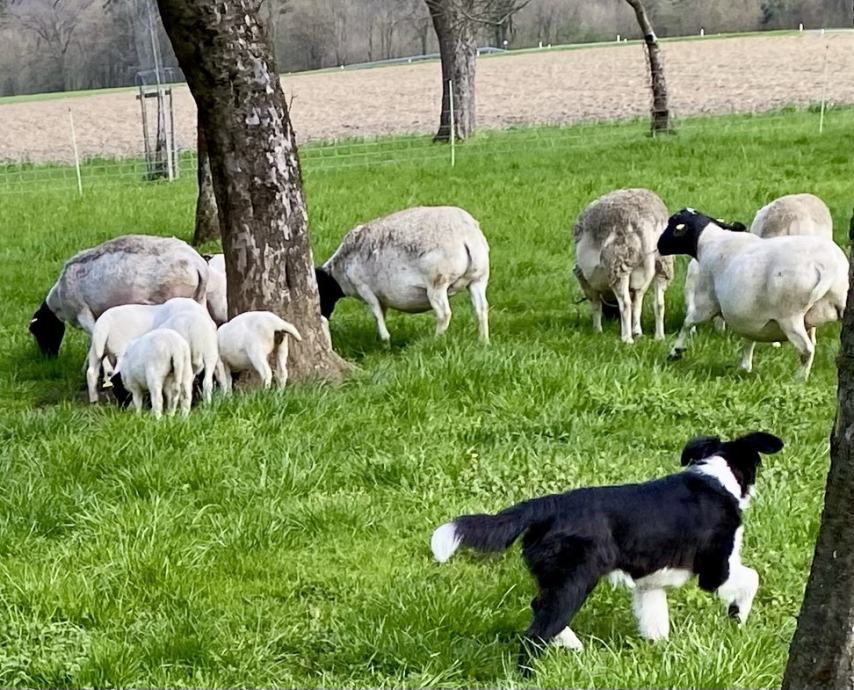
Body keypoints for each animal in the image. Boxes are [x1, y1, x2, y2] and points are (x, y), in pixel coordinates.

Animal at [30, 235, 209, 354]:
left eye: (38, 330)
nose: (49, 357)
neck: (58, 300)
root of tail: (197, 263)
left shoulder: (83, 312)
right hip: (199, 299)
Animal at [314, 204, 492, 344]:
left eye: (320, 295)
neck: (338, 273)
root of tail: (466, 236)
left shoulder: (364, 289)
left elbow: (377, 315)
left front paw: (385, 340)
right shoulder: (381, 295)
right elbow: (382, 314)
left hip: (438, 282)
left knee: (444, 314)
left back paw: (436, 341)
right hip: (479, 278)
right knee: (481, 309)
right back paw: (483, 342)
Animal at [432, 430, 784, 668]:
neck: (716, 478)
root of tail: (547, 505)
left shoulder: (650, 583)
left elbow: (656, 620)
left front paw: (660, 653)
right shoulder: (716, 567)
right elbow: (751, 578)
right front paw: (738, 617)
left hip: (557, 575)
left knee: (539, 607)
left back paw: (574, 646)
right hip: (575, 578)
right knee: (537, 630)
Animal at [576, 188, 676, 342]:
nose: (611, 320)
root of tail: (645, 221)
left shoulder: (587, 283)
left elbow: (596, 305)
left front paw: (597, 331)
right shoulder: (638, 284)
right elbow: (638, 304)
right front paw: (638, 332)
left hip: (619, 263)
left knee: (625, 304)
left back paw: (627, 339)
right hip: (663, 263)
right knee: (659, 304)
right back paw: (659, 337)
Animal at [656, 210, 848, 382]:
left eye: (672, 223)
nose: (658, 246)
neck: (710, 240)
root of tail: (827, 267)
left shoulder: (708, 301)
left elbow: (688, 322)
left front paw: (676, 351)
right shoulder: (748, 313)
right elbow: (749, 338)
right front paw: (745, 367)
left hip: (790, 315)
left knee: (806, 350)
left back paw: (799, 380)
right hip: (841, 304)